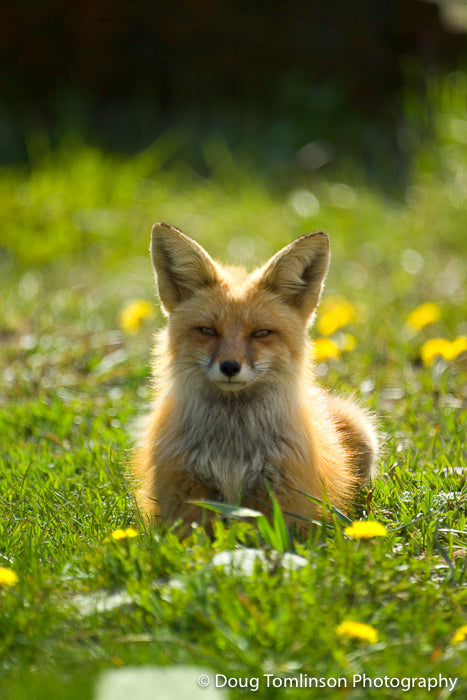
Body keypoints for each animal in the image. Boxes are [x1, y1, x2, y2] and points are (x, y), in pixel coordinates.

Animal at [134, 222, 378, 535]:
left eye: (261, 333)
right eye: (208, 330)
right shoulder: (184, 491)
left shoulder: (284, 496)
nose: (229, 367)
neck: (231, 450)